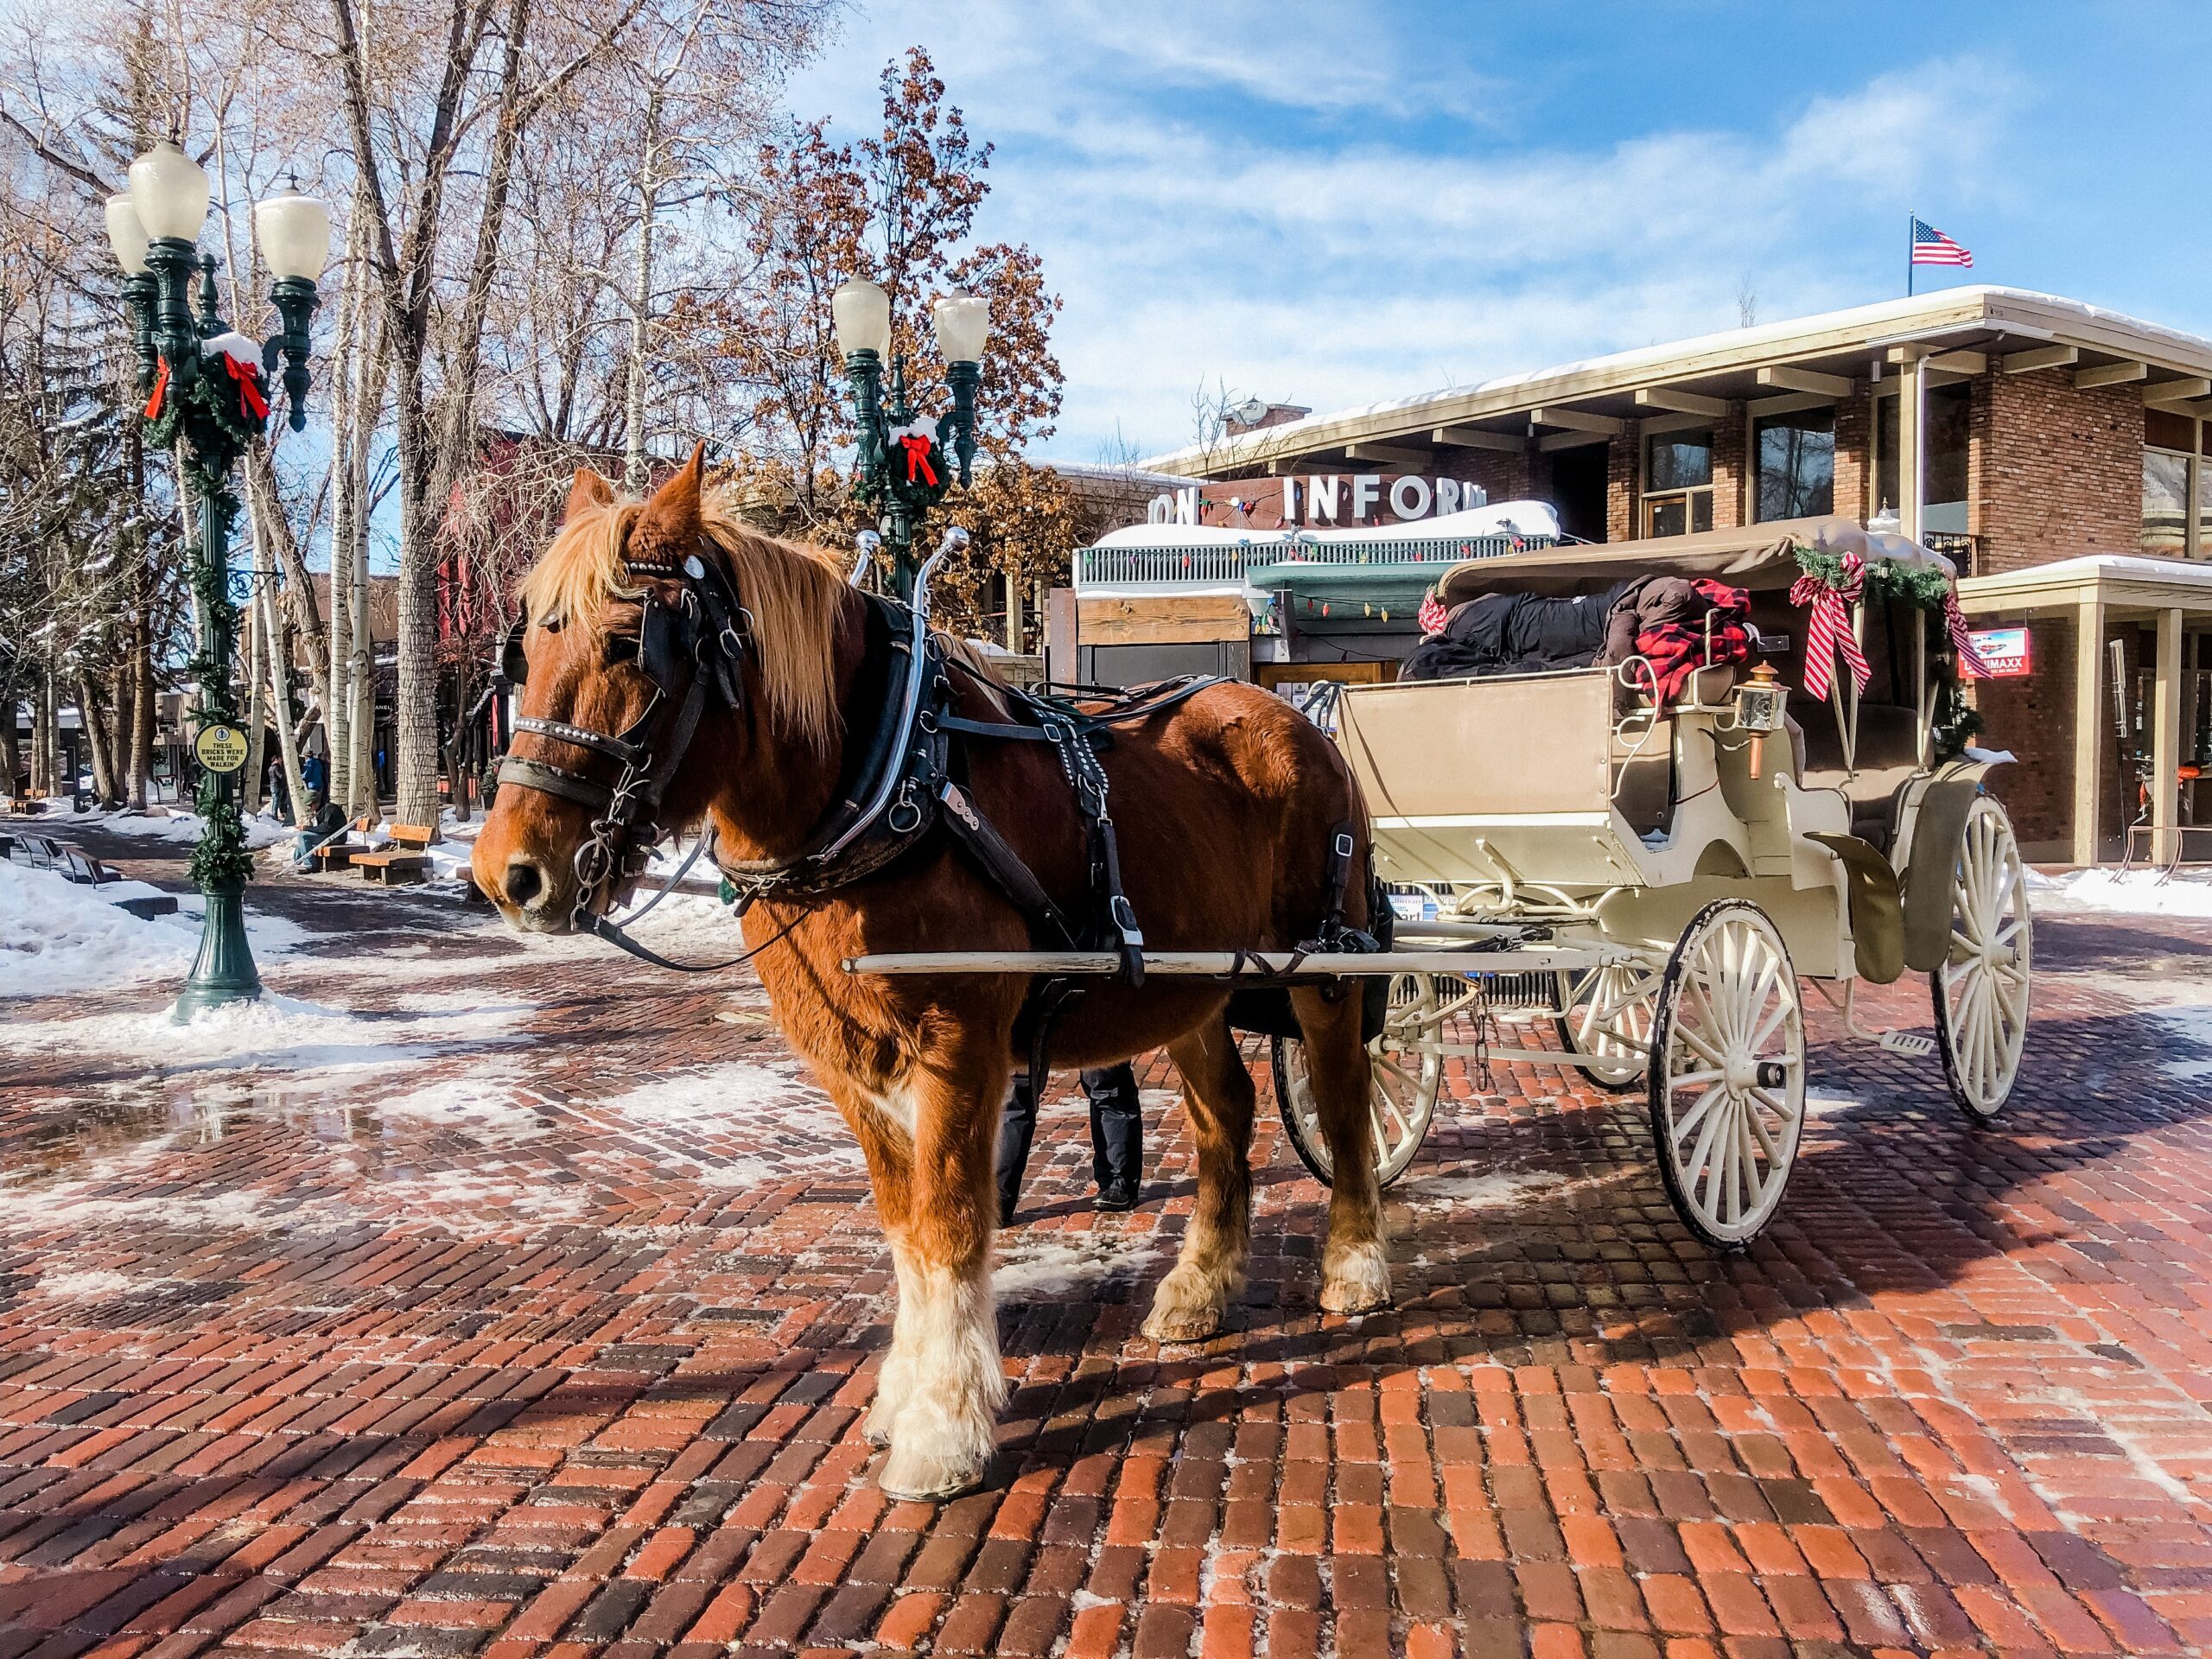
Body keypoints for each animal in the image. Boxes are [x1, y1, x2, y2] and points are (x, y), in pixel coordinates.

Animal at [473, 448, 1390, 1500]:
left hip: (1328, 967)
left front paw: (943, 1431)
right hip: (1184, 981)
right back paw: (1197, 1289)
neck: (887, 785)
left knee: (1344, 1098)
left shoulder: (959, 1042)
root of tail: (1296, 716)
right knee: (1224, 1115)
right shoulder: (849, 1062)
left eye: (631, 645)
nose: (507, 874)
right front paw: (903, 1397)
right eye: (523, 652)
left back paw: (1356, 1267)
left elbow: (949, 1221)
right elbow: (905, 1228)